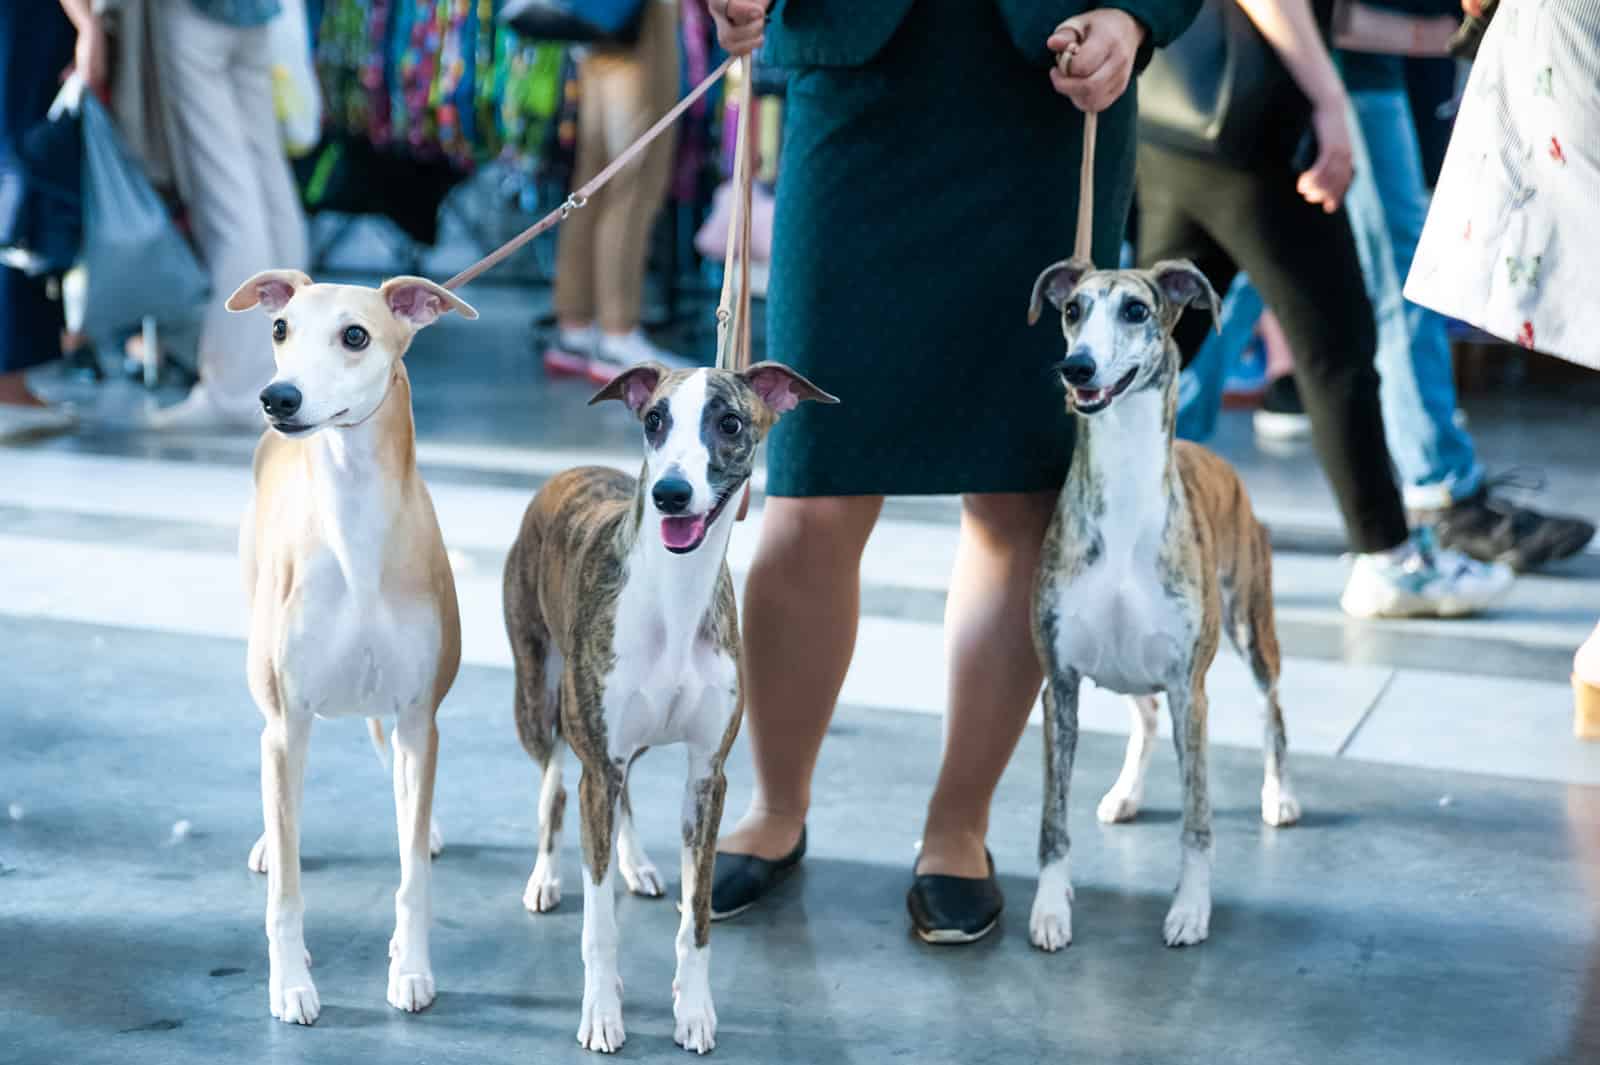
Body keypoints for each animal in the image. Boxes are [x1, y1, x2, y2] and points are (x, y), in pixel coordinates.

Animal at [228, 271, 473, 1023]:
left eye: (356, 334)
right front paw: (290, 983)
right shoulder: (286, 724)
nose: (278, 398)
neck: (354, 524)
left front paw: (412, 966)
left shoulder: (420, 718)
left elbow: (412, 874)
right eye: (280, 328)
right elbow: (286, 887)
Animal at [502, 358, 838, 1055]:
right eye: (654, 419)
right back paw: (546, 878)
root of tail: (567, 474)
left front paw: (695, 1010)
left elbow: (698, 916)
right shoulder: (596, 759)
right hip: (539, 699)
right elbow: (599, 921)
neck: (675, 598)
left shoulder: (707, 776)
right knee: (554, 784)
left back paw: (636, 863)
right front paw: (602, 1012)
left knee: (618, 792)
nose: (671, 494)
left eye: (730, 422)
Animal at [1024, 257, 1299, 946]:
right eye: (1073, 310)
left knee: (1272, 709)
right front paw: (1050, 906)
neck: (1125, 494)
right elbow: (1053, 820)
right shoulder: (1059, 684)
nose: (1078, 368)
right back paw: (1124, 793)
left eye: (1135, 310)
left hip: (1251, 627)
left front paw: (1190, 909)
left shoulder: (1188, 689)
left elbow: (1197, 819)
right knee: (1144, 720)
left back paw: (1280, 795)